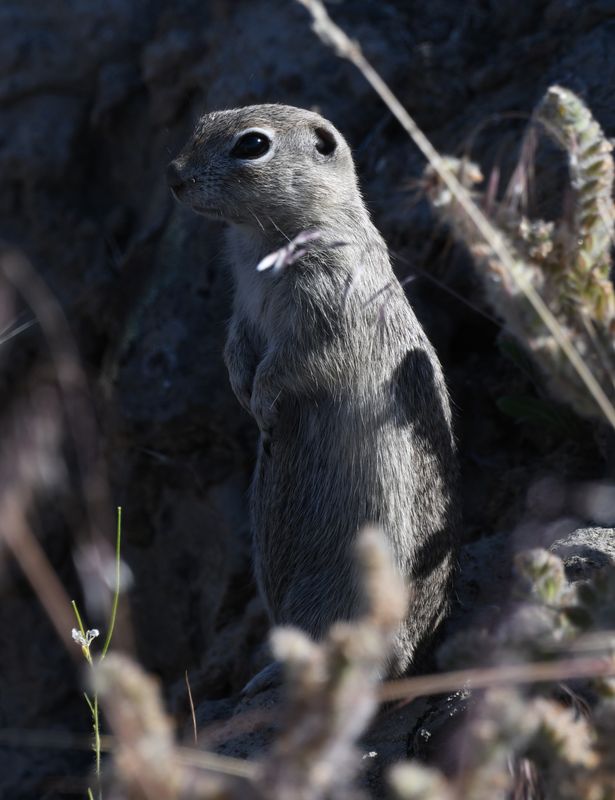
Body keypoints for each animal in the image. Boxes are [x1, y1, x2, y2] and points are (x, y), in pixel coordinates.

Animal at [171, 104, 460, 692]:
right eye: (205, 118)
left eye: (253, 145)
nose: (174, 175)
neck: (262, 239)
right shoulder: (244, 311)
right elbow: (237, 347)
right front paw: (244, 394)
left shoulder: (324, 311)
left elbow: (293, 363)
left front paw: (262, 404)